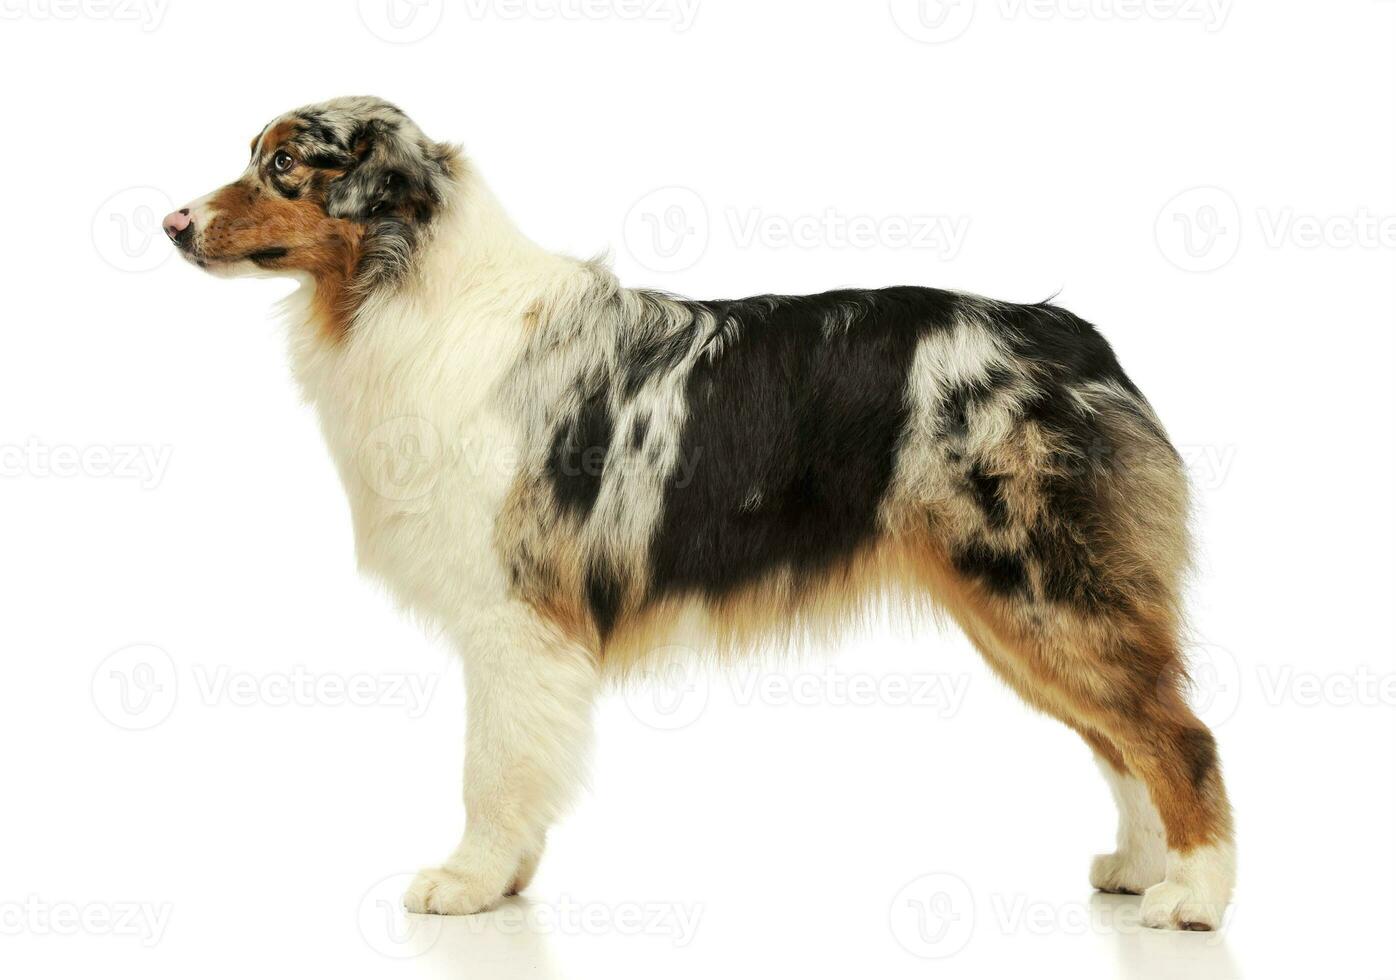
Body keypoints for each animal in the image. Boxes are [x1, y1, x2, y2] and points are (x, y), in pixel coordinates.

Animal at [163, 96, 1234, 932]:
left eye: (285, 163)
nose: (171, 222)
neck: (403, 285)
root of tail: (1077, 340)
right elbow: (519, 763)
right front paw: (506, 882)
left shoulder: (517, 611)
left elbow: (493, 765)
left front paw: (466, 882)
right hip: (1018, 606)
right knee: (1125, 737)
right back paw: (1142, 868)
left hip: (1039, 587)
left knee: (1177, 735)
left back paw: (1194, 898)